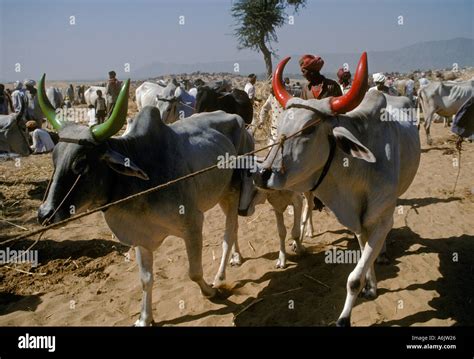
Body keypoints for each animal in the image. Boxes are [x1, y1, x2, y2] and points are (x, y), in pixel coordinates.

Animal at [37, 74, 256, 328]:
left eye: (80, 163)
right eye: (54, 159)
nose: (44, 214)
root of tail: (236, 118)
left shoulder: (193, 224)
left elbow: (194, 272)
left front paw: (210, 291)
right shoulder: (141, 236)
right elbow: (146, 280)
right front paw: (144, 318)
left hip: (235, 190)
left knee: (228, 234)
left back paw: (220, 276)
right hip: (221, 194)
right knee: (234, 228)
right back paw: (236, 257)